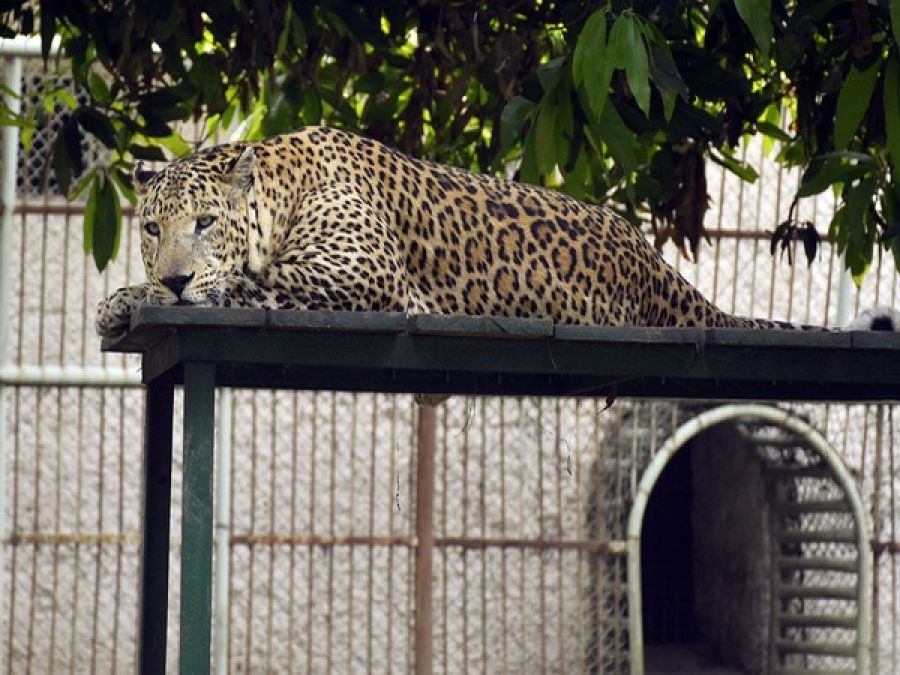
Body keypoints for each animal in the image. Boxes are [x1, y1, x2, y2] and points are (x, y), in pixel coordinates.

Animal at [95, 125, 896, 340]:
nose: (172, 274)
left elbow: (246, 281)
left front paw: (142, 297)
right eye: (150, 228)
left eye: (205, 223)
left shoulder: (361, 278)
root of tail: (652, 260)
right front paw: (126, 297)